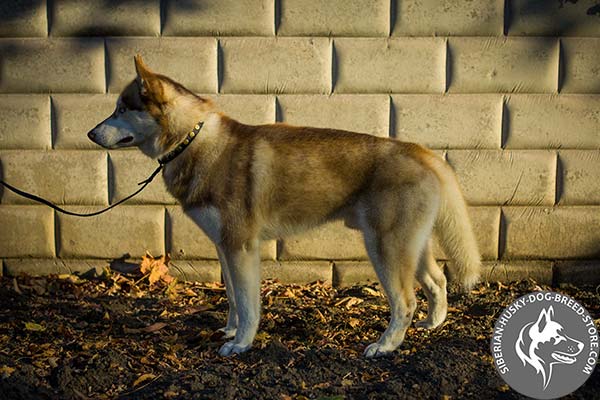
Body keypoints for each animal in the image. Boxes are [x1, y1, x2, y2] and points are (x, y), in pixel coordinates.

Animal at [88, 54, 482, 356]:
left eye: (121, 109)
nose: (90, 133)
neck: (194, 140)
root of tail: (420, 150)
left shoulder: (241, 247)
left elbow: (249, 305)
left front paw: (241, 345)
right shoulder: (223, 247)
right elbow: (233, 299)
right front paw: (230, 331)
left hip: (384, 249)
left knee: (405, 302)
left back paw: (385, 346)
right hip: (411, 246)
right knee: (437, 281)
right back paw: (432, 323)